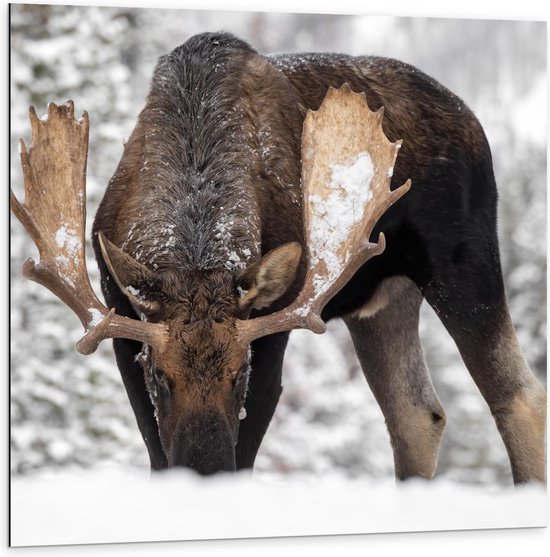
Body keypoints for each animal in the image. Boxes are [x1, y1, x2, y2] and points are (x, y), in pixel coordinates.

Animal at [12, 33, 548, 482]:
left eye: (239, 375)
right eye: (160, 376)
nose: (204, 470)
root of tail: (473, 119)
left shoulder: (271, 331)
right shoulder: (123, 328)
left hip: (464, 260)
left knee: (520, 397)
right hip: (382, 300)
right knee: (417, 415)